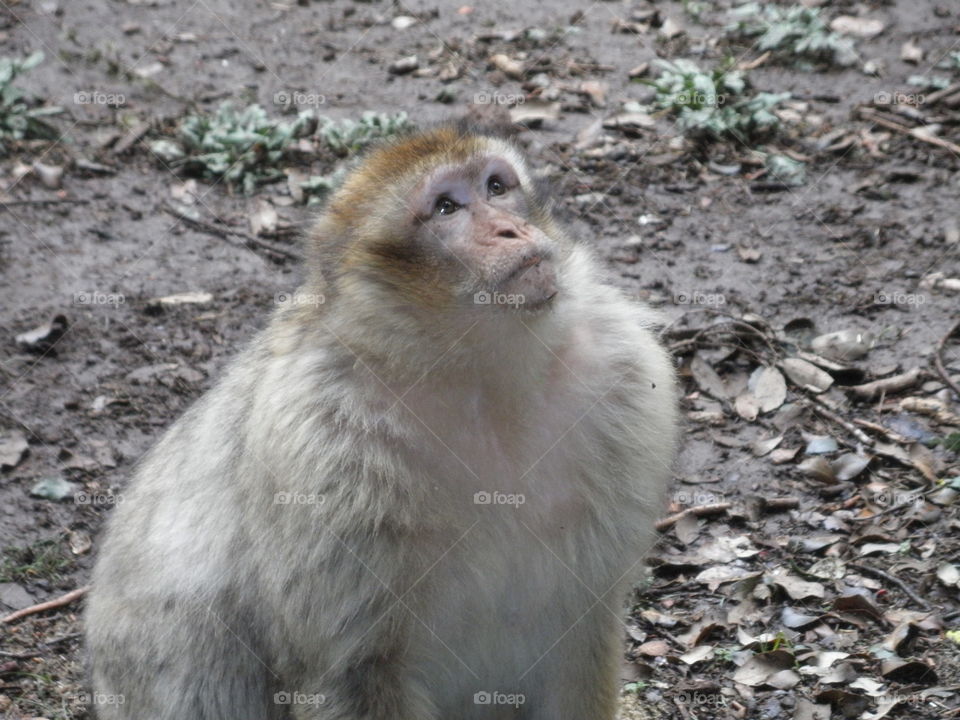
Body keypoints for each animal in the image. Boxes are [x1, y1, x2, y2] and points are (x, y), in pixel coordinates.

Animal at [84, 120, 678, 720]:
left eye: (496, 187)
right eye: (446, 207)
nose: (511, 228)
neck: (477, 375)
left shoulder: (622, 375)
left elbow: (581, 627)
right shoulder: (323, 453)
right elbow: (351, 672)